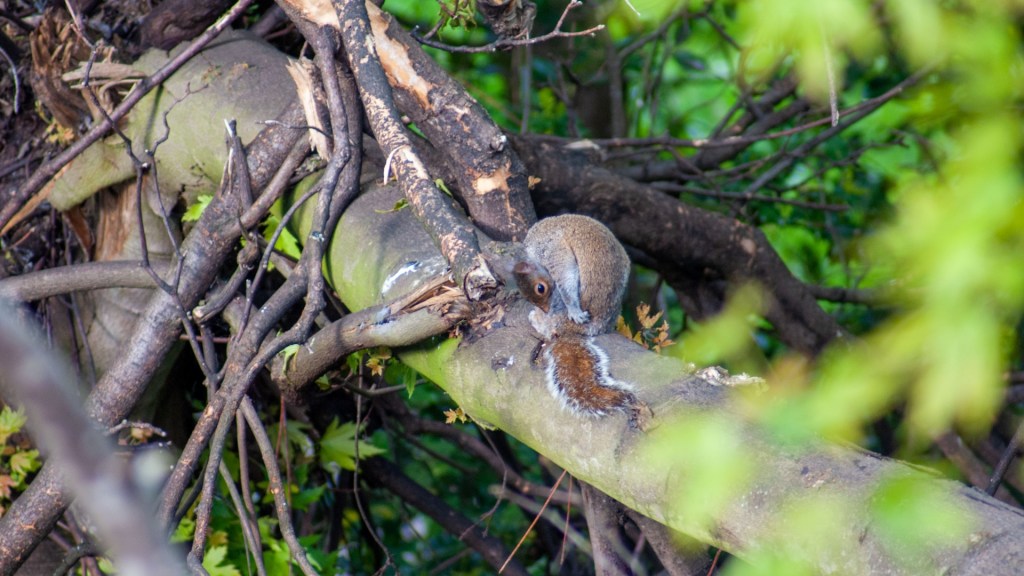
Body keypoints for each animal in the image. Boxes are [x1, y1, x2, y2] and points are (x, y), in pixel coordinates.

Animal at [512, 214, 649, 426]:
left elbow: (564, 276)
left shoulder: (552, 249)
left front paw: (573, 309)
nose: (544, 308)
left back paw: (539, 319)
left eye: (540, 288)